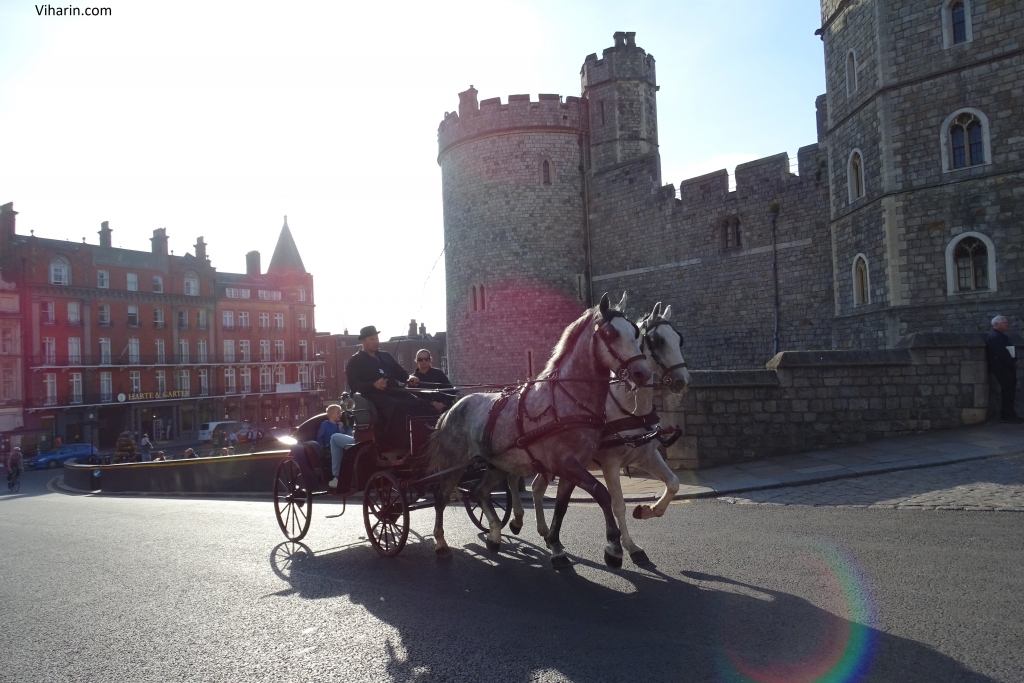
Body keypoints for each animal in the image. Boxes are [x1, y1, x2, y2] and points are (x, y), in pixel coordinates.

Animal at [425, 292, 655, 565]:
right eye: (610, 333)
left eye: (635, 332)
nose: (642, 373)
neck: (568, 399)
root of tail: (452, 407)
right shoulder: (565, 463)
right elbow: (602, 493)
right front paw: (613, 546)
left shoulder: (571, 467)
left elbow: (562, 506)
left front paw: (555, 544)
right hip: (455, 463)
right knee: (441, 497)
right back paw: (441, 542)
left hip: (497, 462)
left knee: (479, 491)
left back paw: (494, 535)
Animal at [507, 303, 692, 565]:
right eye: (658, 340)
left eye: (679, 338)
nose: (683, 381)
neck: (629, 408)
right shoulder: (610, 463)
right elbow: (617, 504)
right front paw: (629, 546)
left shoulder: (646, 456)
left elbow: (673, 484)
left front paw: (647, 510)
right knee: (514, 480)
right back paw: (517, 519)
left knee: (536, 487)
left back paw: (544, 532)